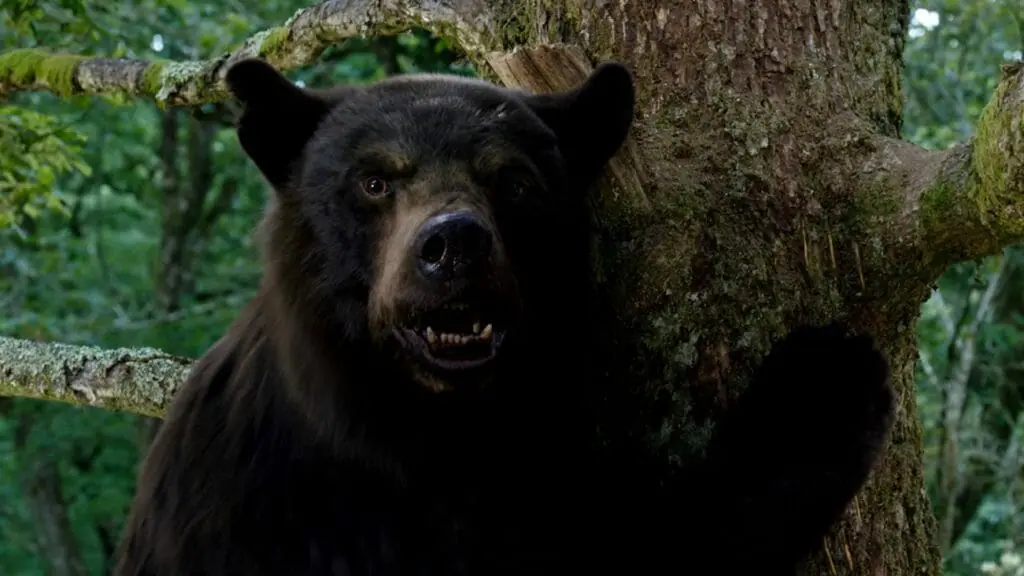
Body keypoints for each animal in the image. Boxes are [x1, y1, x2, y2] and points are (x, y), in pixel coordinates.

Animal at [112, 57, 895, 576]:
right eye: (373, 180)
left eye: (514, 181)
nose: (453, 244)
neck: (424, 437)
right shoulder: (244, 507)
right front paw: (821, 380)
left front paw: (821, 384)